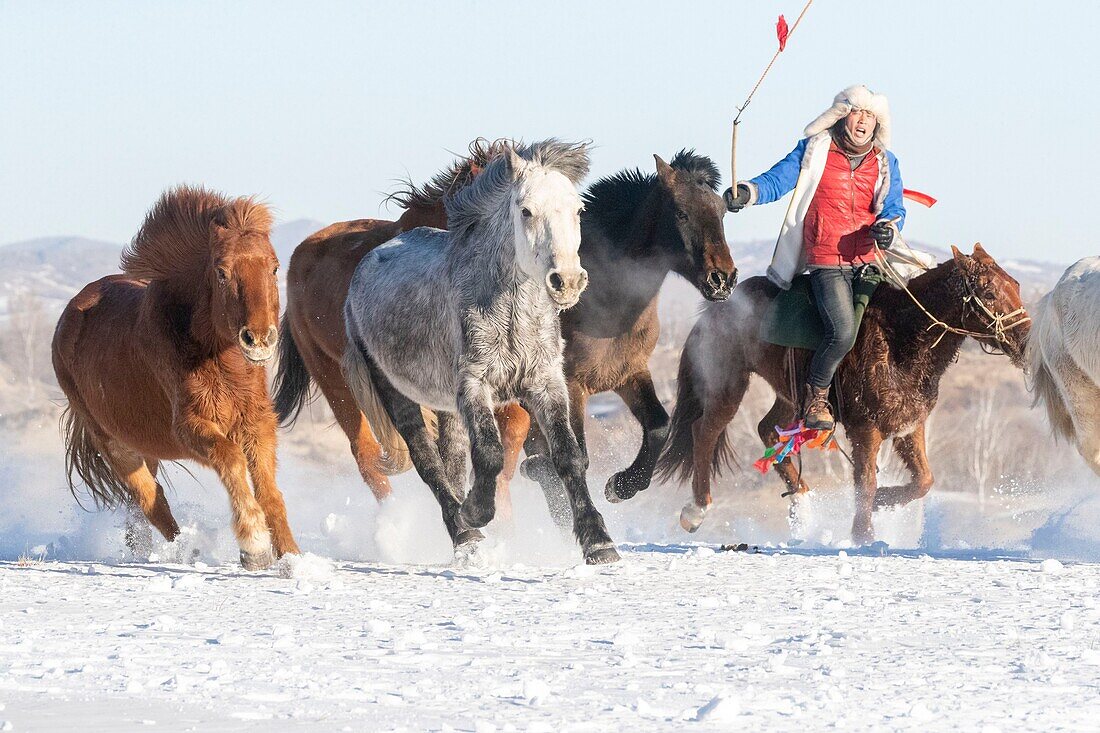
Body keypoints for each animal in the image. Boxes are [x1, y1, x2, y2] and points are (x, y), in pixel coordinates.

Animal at [53, 183, 299, 563]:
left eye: (274, 268)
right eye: (221, 272)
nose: (258, 339)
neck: (218, 358)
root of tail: (70, 314)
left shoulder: (257, 423)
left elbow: (269, 491)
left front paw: (291, 558)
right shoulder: (190, 426)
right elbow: (231, 459)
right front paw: (255, 545)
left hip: (145, 448)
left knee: (140, 510)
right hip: (115, 445)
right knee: (152, 504)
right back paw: (186, 553)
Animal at [338, 139, 624, 561]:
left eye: (578, 210)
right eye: (526, 210)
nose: (567, 281)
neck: (511, 312)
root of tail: (366, 264)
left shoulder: (545, 383)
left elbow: (569, 456)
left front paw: (599, 542)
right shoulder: (475, 385)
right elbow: (489, 454)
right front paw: (475, 511)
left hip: (445, 405)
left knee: (453, 461)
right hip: (396, 392)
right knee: (429, 464)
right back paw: (464, 532)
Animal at [517, 149, 739, 519]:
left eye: (722, 212)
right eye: (681, 212)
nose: (723, 279)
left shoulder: (629, 374)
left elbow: (660, 426)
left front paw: (622, 486)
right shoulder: (571, 384)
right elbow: (577, 456)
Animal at [651, 242, 1029, 539]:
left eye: (1016, 285)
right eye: (989, 293)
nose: (1026, 339)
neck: (901, 338)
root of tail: (719, 306)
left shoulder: (909, 427)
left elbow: (924, 480)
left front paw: (883, 504)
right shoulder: (866, 429)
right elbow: (866, 483)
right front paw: (864, 535)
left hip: (791, 395)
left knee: (767, 429)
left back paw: (803, 505)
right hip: (727, 383)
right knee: (705, 431)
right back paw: (696, 510)